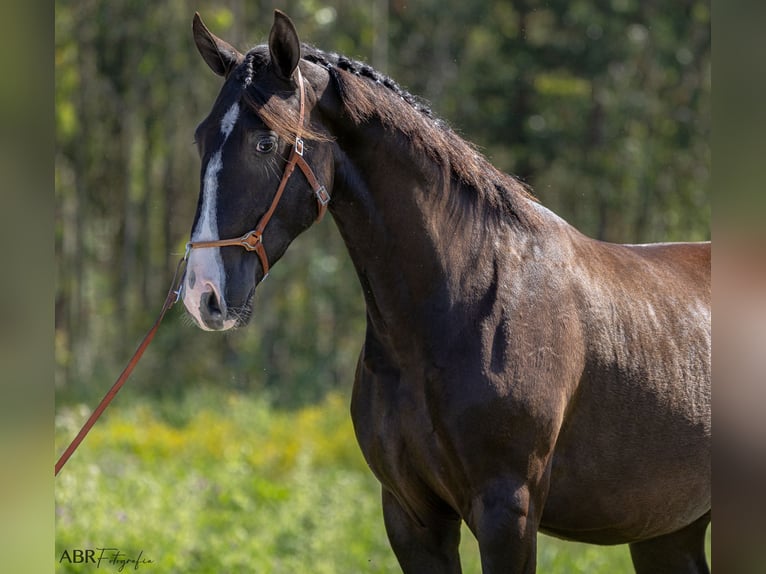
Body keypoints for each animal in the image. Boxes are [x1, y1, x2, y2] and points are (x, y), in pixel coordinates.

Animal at [180, 10, 712, 574]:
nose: (202, 292)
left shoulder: (507, 515)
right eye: (201, 139)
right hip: (668, 532)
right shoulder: (411, 515)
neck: (464, 304)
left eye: (264, 143)